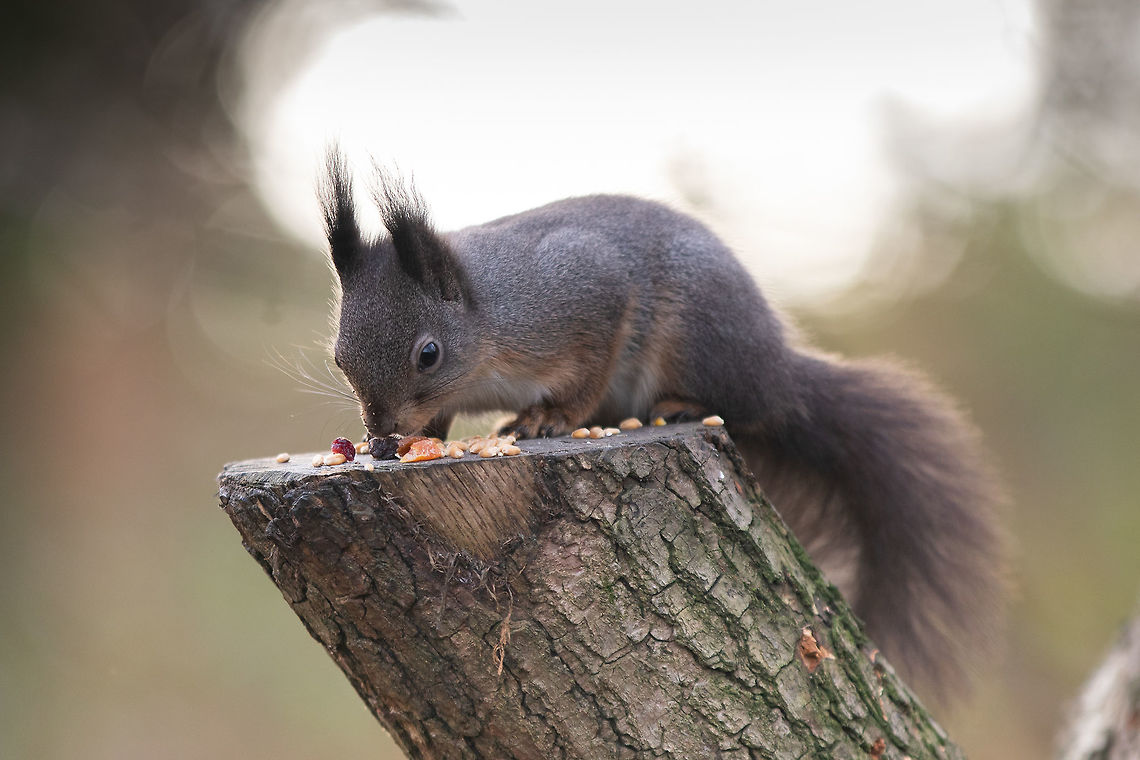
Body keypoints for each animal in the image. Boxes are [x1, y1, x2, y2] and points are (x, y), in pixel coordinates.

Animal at [319, 150, 1005, 700]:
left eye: (428, 353)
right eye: (339, 356)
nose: (380, 431)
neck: (487, 316)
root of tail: (779, 371)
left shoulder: (585, 298)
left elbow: (588, 371)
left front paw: (552, 416)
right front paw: (405, 440)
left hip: (697, 336)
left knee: (738, 400)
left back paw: (675, 407)